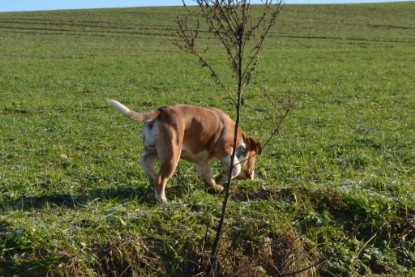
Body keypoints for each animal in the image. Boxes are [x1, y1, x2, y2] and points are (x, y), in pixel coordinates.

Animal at [109, 99, 262, 203]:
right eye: (254, 158)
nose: (252, 176)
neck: (241, 141)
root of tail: (160, 111)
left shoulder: (201, 162)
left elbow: (208, 175)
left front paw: (216, 186)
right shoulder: (224, 150)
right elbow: (235, 167)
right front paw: (222, 178)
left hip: (154, 151)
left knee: (144, 161)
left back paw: (152, 177)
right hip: (172, 155)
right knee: (161, 179)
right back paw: (163, 201)